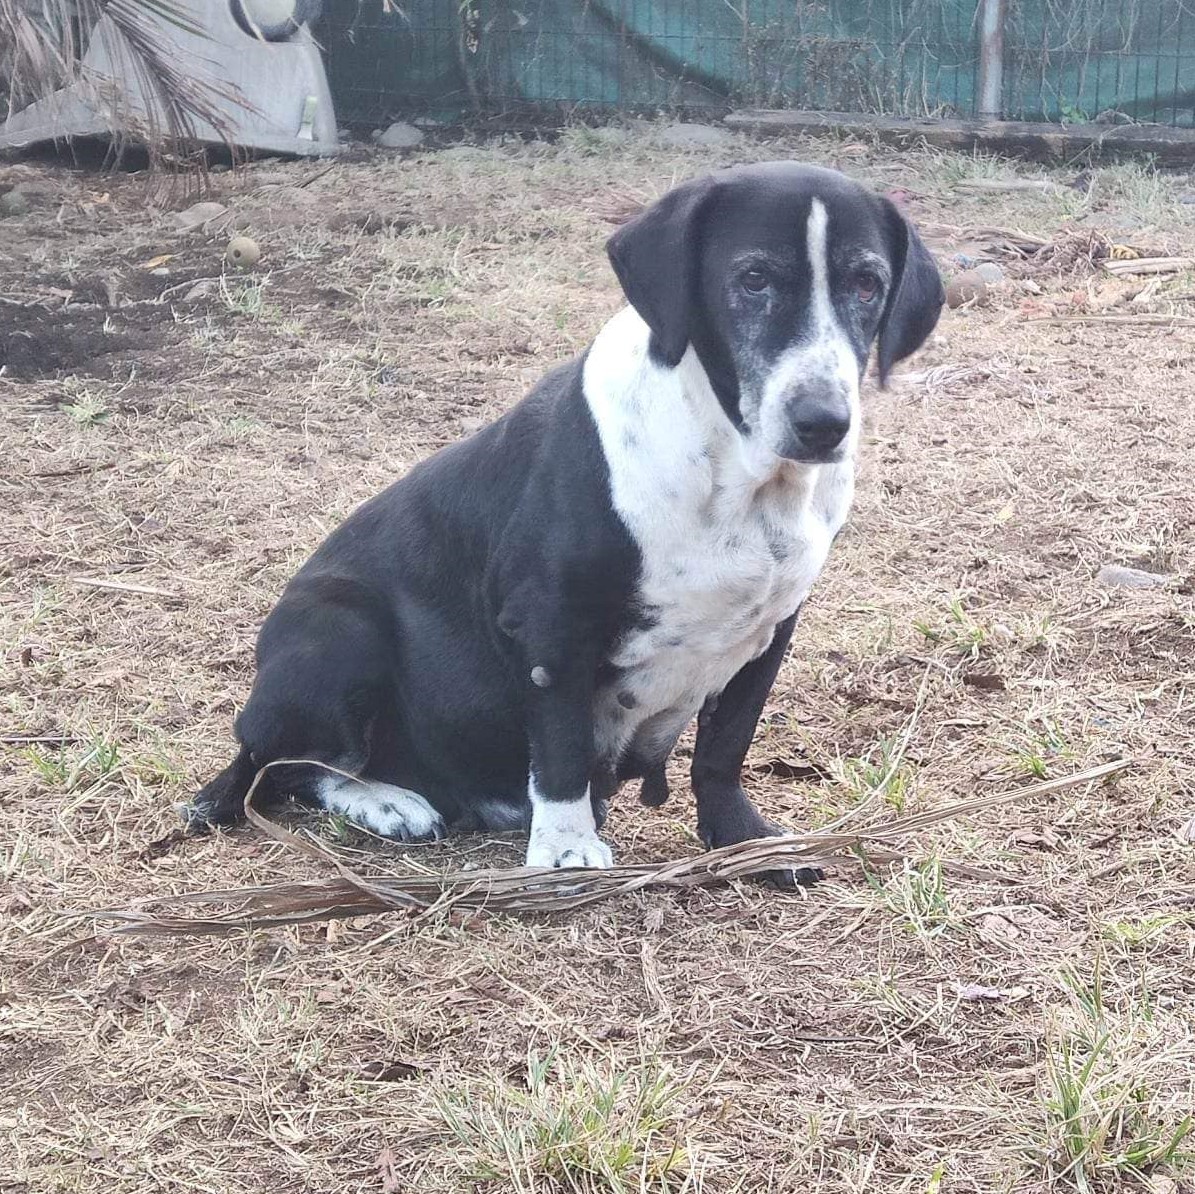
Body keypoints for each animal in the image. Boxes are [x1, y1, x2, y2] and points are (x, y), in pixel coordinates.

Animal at [186, 161, 946, 889]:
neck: (734, 468)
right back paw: (386, 801)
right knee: (285, 765)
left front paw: (742, 841)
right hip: (340, 626)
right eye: (753, 277)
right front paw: (564, 849)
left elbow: (725, 746)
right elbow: (559, 746)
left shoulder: (770, 628)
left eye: (866, 283)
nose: (823, 422)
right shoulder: (551, 621)